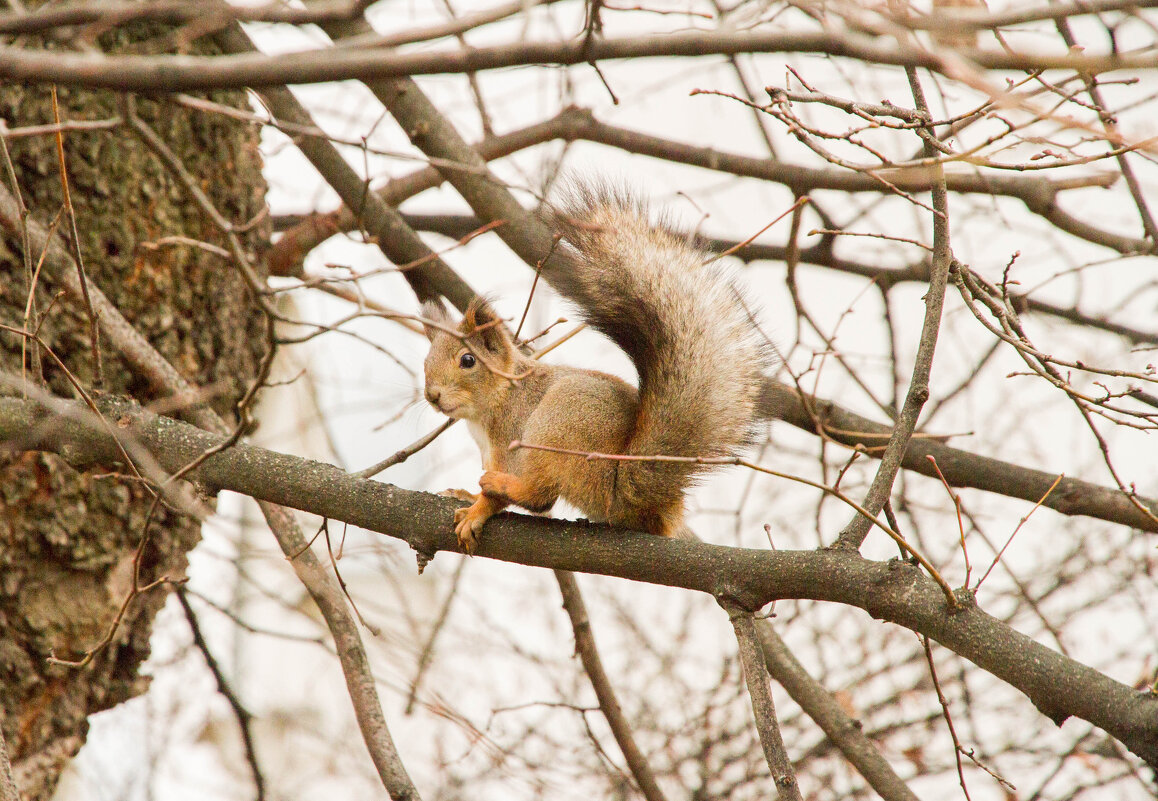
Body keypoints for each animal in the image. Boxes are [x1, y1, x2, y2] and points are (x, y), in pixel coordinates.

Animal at [419, 184, 768, 553]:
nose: (432, 395)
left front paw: (478, 510)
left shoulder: (512, 435)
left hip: (557, 425)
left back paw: (506, 485)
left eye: (467, 360)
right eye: (425, 361)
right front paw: (467, 495)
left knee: (540, 494)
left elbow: (503, 500)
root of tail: (626, 492)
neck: (488, 410)